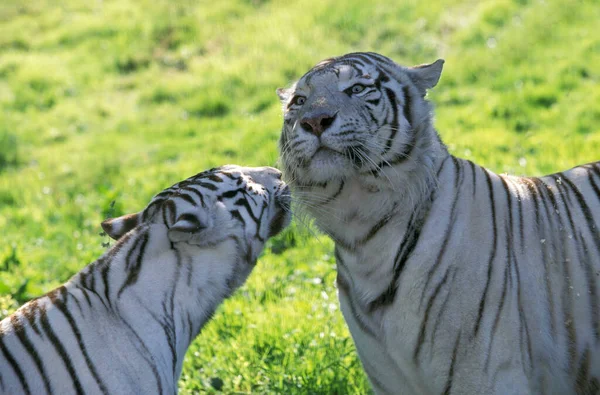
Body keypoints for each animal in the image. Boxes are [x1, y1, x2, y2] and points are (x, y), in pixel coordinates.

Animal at [276, 51, 600, 394]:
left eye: (357, 89)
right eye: (299, 101)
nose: (314, 121)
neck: (362, 236)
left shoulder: (484, 376)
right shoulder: (390, 383)